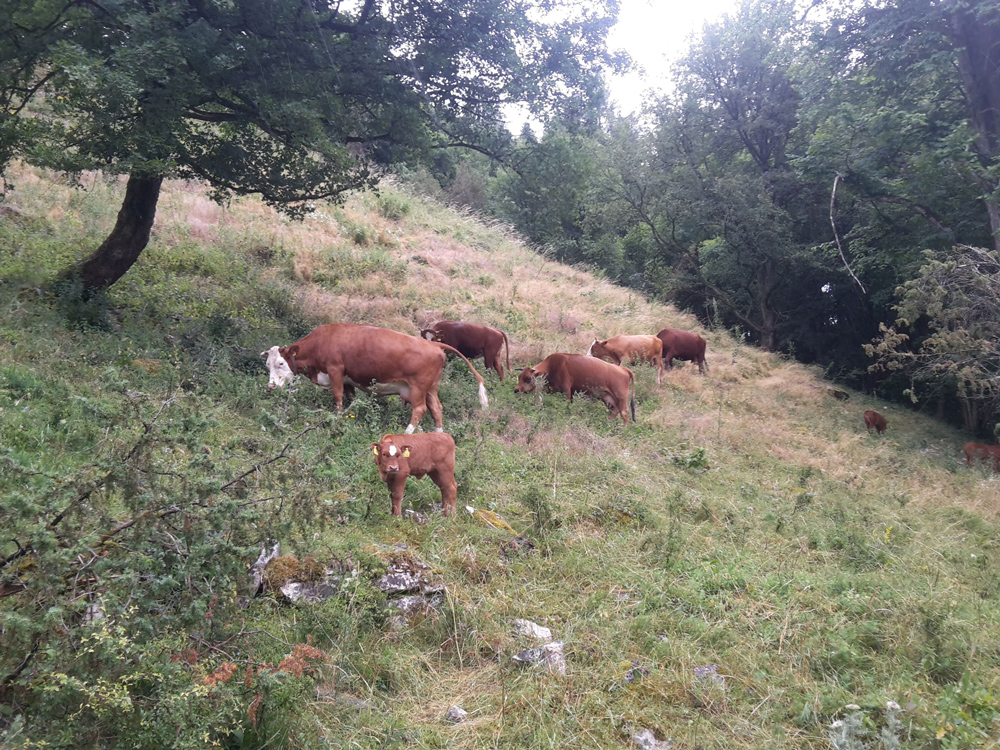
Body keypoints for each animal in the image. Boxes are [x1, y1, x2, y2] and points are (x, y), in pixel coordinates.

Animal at [262, 324, 488, 434]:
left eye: (281, 363)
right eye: (268, 365)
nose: (271, 386)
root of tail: (434, 344)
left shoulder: (335, 370)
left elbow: (337, 397)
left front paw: (338, 418)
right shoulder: (347, 380)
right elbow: (350, 398)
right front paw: (350, 416)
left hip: (418, 387)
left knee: (420, 409)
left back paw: (408, 431)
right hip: (431, 388)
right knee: (436, 409)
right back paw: (437, 433)